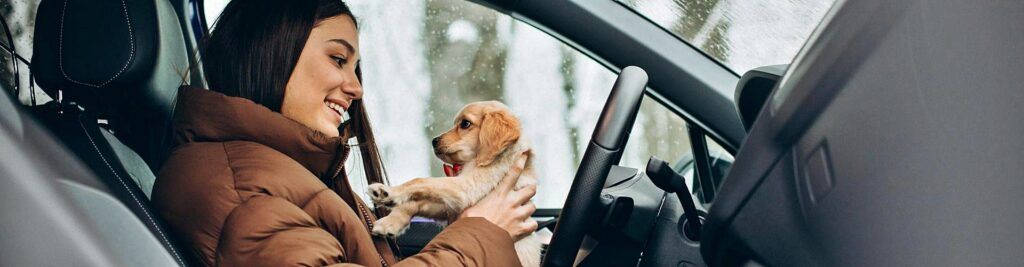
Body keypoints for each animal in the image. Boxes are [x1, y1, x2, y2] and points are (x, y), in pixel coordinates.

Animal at [368, 100, 544, 265]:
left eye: (465, 124)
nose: (433, 141)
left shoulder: (466, 188)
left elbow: (421, 181)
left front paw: (388, 192)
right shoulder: (449, 206)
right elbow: (414, 203)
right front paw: (390, 222)